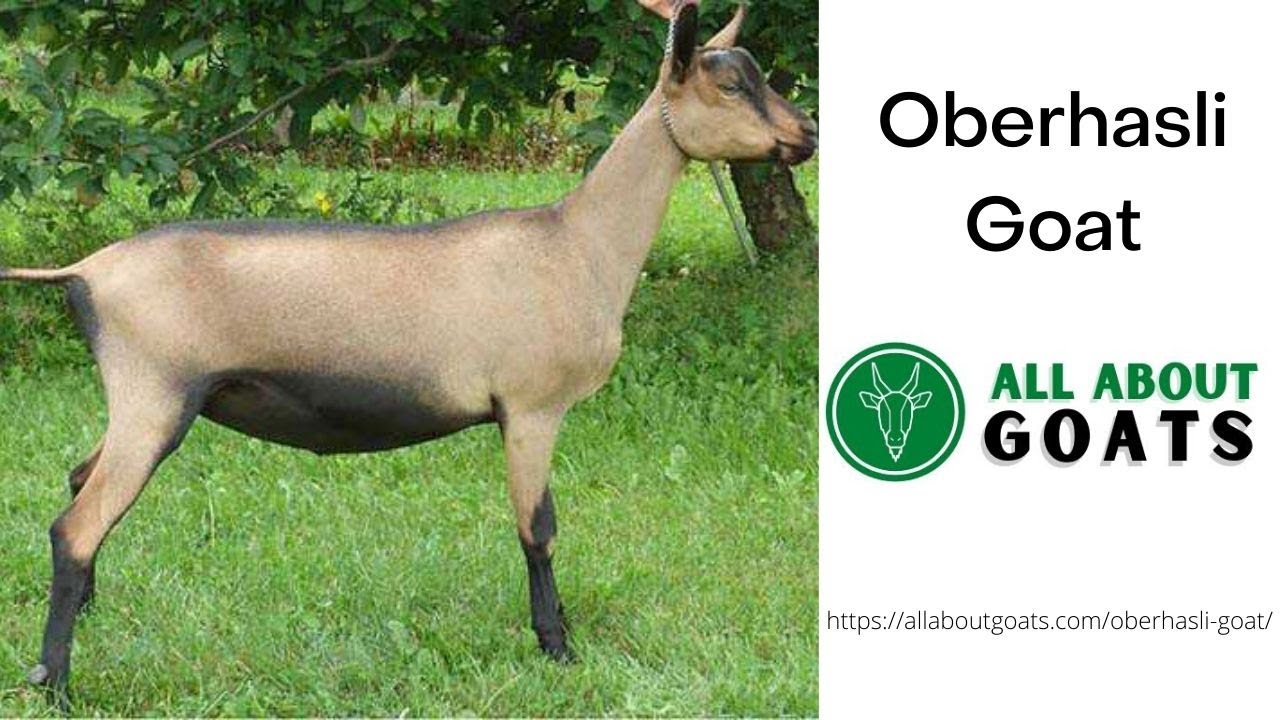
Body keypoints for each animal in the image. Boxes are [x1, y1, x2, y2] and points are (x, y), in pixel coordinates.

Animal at [1, 0, 816, 701]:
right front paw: (557, 647)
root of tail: (85, 272)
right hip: (155, 394)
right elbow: (538, 528)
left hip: (143, 399)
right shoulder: (531, 405)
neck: (578, 244)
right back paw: (57, 682)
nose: (806, 135)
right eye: (730, 84)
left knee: (79, 479)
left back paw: (91, 618)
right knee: (75, 527)